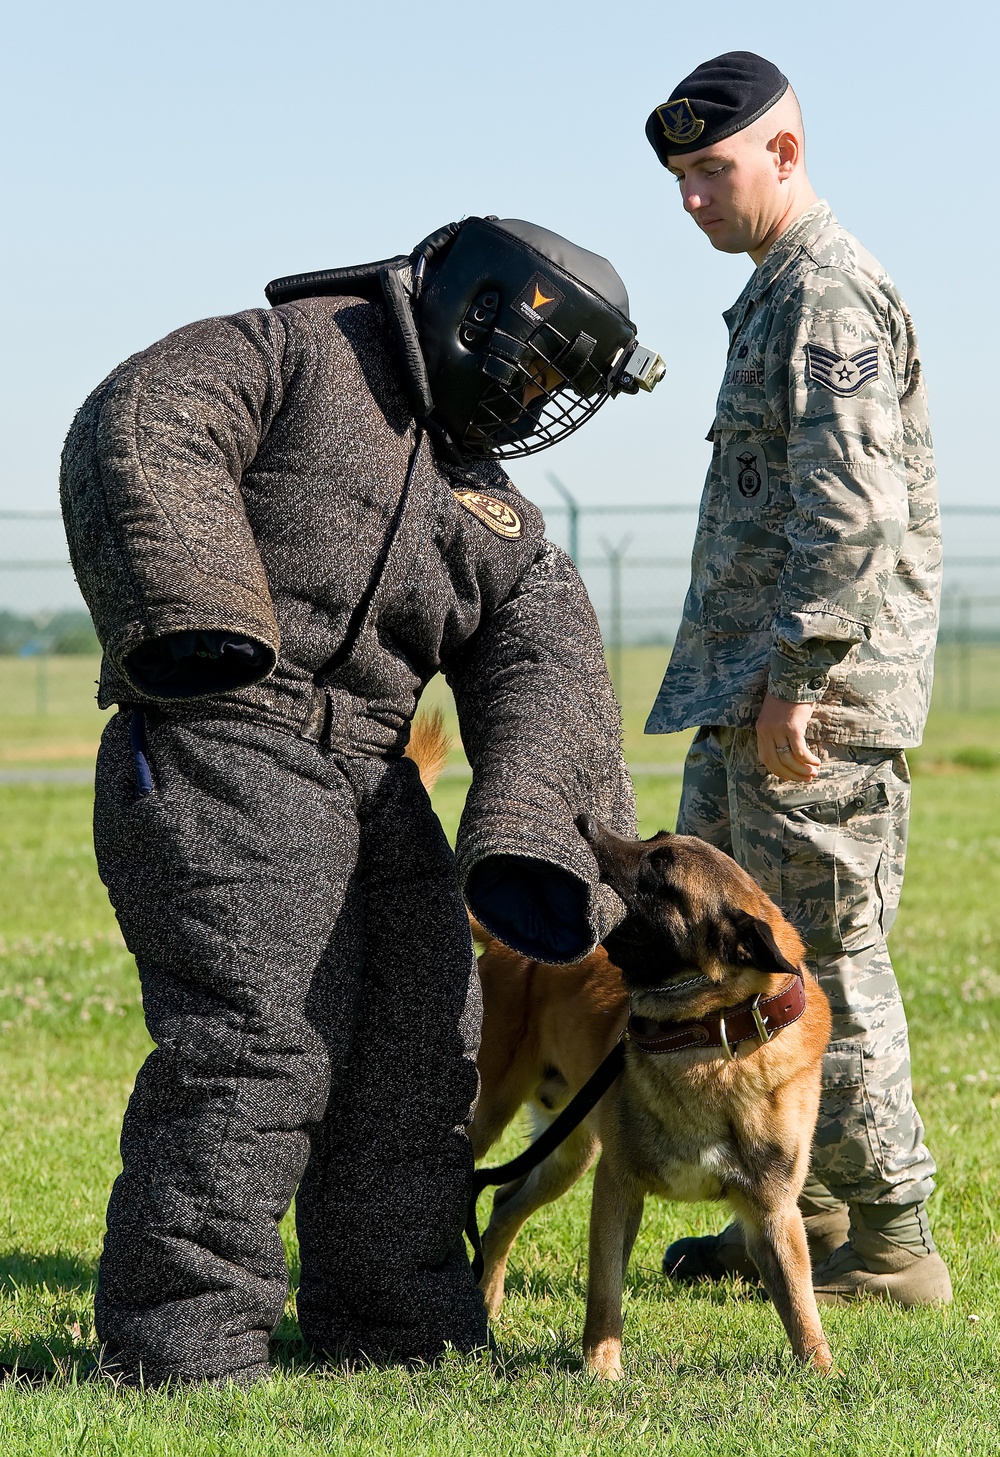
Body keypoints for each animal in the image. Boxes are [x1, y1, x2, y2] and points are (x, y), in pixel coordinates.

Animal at [469, 821, 839, 1375]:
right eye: (655, 840)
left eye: (660, 867)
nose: (585, 824)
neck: (710, 1036)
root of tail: (506, 947)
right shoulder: (617, 1186)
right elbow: (605, 1295)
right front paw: (602, 1371)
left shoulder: (774, 1211)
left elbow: (801, 1307)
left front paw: (823, 1375)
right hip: (486, 1117)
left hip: (569, 1153)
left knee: (504, 1201)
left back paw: (486, 1307)